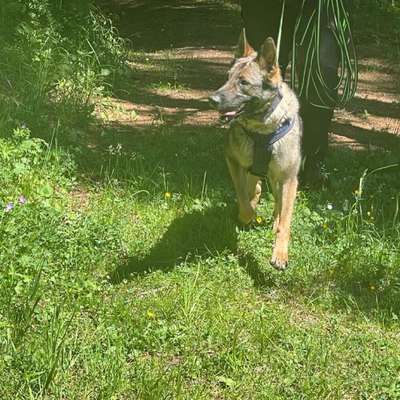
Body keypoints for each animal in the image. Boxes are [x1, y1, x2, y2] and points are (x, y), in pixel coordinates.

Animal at [209, 30, 300, 268]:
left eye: (243, 82)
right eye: (227, 77)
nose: (211, 99)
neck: (262, 128)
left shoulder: (289, 179)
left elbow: (285, 220)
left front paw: (280, 253)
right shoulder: (232, 161)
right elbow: (243, 198)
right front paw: (247, 216)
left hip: (278, 181)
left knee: (277, 203)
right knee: (253, 189)